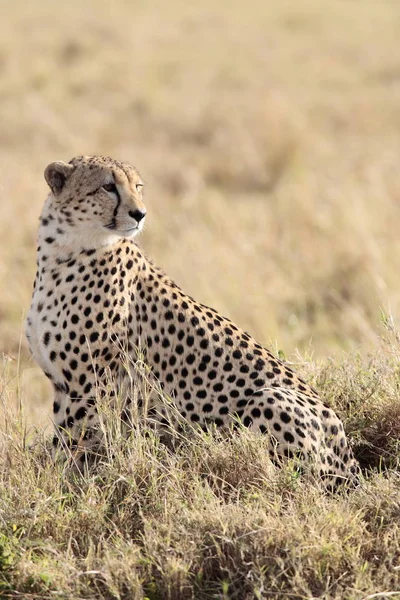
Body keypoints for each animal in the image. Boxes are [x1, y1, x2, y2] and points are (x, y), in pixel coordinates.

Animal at [26, 154, 358, 488]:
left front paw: (61, 487)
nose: (140, 214)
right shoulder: (65, 386)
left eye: (138, 186)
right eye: (108, 186)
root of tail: (351, 463)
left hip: (270, 398)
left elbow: (71, 446)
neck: (62, 251)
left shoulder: (90, 386)